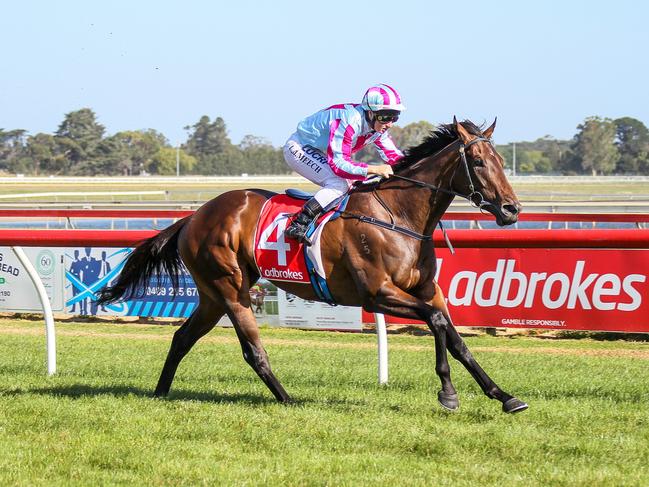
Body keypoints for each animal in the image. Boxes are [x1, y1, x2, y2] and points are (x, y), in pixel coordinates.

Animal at [100, 116, 528, 414]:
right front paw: (448, 393)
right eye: (477, 161)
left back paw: (160, 393)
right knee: (252, 351)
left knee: (182, 338)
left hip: (211, 296)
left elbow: (456, 339)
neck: (398, 215)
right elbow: (438, 324)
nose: (511, 209)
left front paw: (504, 396)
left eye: (501, 159)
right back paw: (287, 400)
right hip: (230, 289)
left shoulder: (427, 290)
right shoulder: (377, 295)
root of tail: (194, 216)